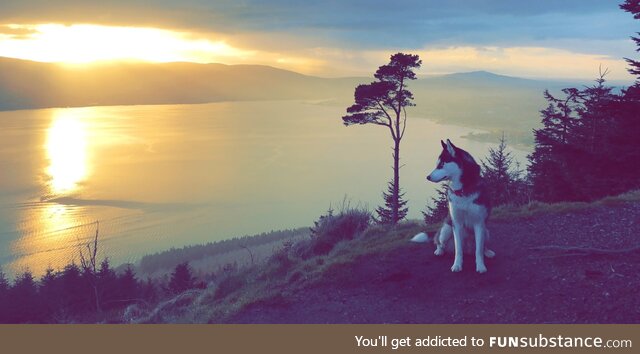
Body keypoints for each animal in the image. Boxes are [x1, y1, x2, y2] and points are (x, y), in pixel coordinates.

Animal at [430, 140, 496, 272]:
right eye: (437, 164)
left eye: (442, 164)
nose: (427, 177)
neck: (463, 191)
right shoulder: (456, 223)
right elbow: (458, 250)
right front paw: (457, 265)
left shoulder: (479, 223)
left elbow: (478, 250)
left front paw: (480, 266)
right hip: (446, 229)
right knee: (440, 241)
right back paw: (439, 250)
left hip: (486, 232)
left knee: (483, 246)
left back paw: (488, 252)